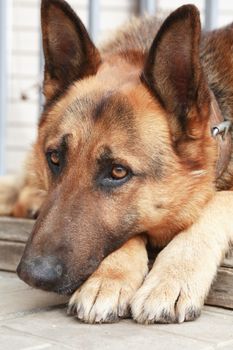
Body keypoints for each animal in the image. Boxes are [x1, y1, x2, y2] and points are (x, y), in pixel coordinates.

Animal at [0, 0, 233, 326]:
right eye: (55, 157)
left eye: (118, 172)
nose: (33, 275)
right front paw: (109, 277)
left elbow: (219, 203)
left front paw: (172, 278)